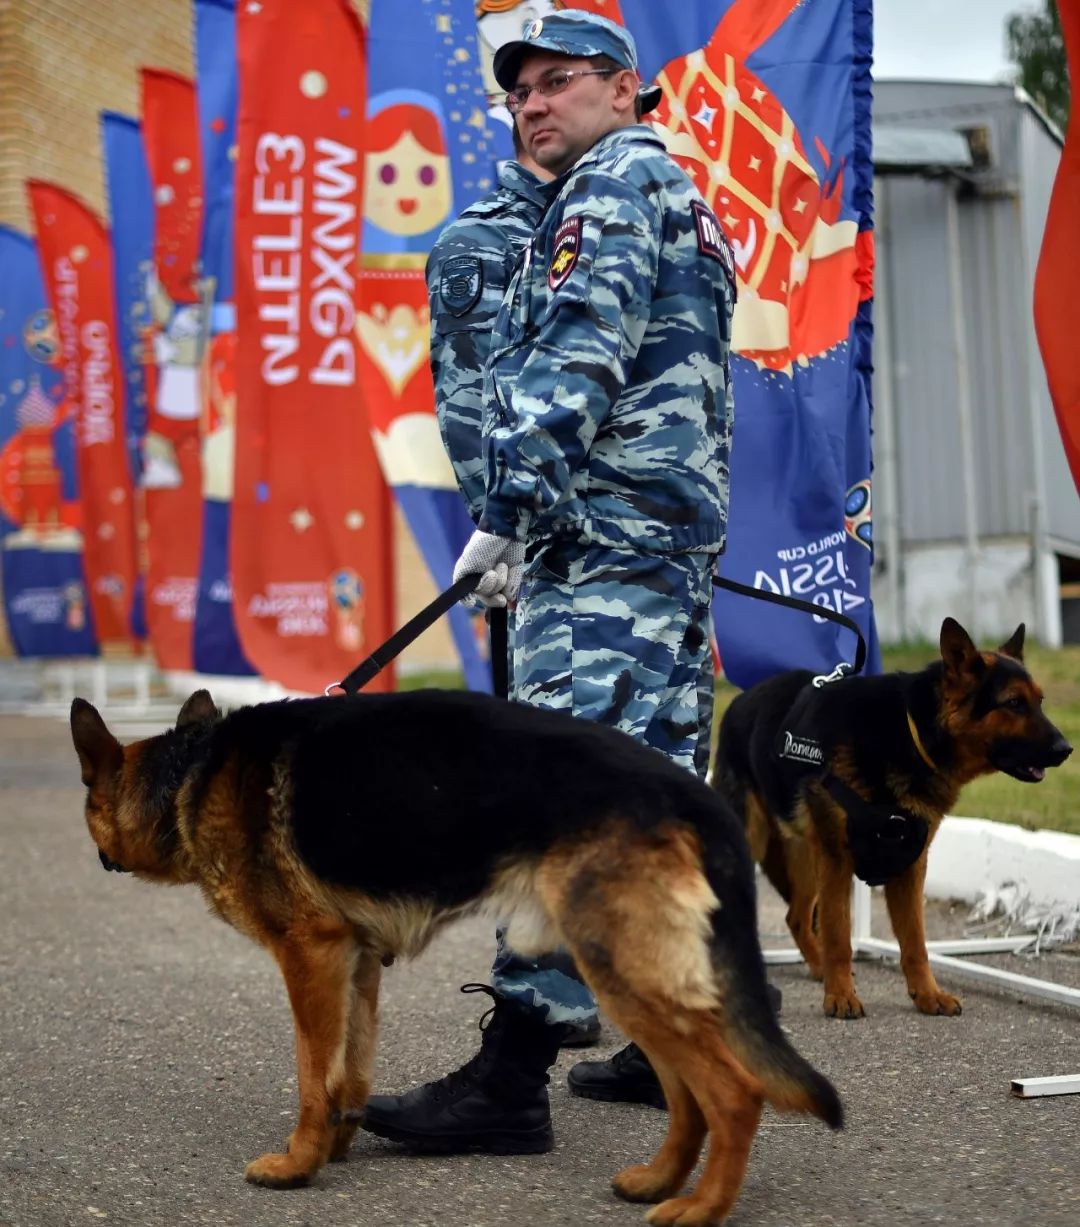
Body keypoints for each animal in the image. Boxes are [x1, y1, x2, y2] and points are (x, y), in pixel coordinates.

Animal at [69, 687, 844, 1222]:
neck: (191, 772)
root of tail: (689, 789)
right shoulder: (355, 964)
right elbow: (350, 1067)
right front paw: (338, 1145)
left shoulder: (308, 956)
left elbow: (313, 1073)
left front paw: (298, 1163)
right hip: (628, 974)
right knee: (689, 1093)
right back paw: (657, 1180)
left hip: (621, 968)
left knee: (734, 1093)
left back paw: (702, 1206)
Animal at [716, 618, 1070, 1020]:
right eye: (1013, 703)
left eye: (1039, 701)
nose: (1066, 749)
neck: (908, 734)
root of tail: (740, 701)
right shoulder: (837, 861)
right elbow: (839, 935)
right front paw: (840, 996)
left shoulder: (910, 865)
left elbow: (915, 942)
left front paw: (928, 995)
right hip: (759, 845)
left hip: (806, 855)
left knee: (796, 916)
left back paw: (818, 967)